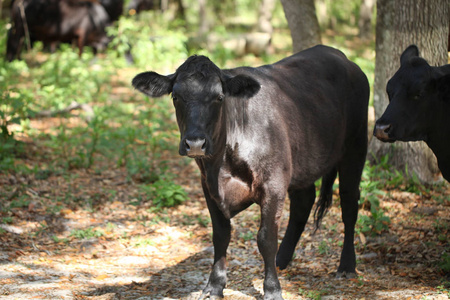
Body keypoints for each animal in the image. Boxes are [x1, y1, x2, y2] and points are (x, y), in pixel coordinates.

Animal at [131, 45, 370, 300]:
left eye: (219, 97)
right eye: (176, 97)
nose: (195, 143)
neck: (222, 165)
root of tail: (337, 54)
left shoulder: (273, 184)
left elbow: (266, 238)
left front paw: (272, 289)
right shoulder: (208, 186)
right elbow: (221, 235)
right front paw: (214, 286)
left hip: (356, 146)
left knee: (349, 205)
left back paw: (347, 266)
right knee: (303, 203)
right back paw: (282, 260)